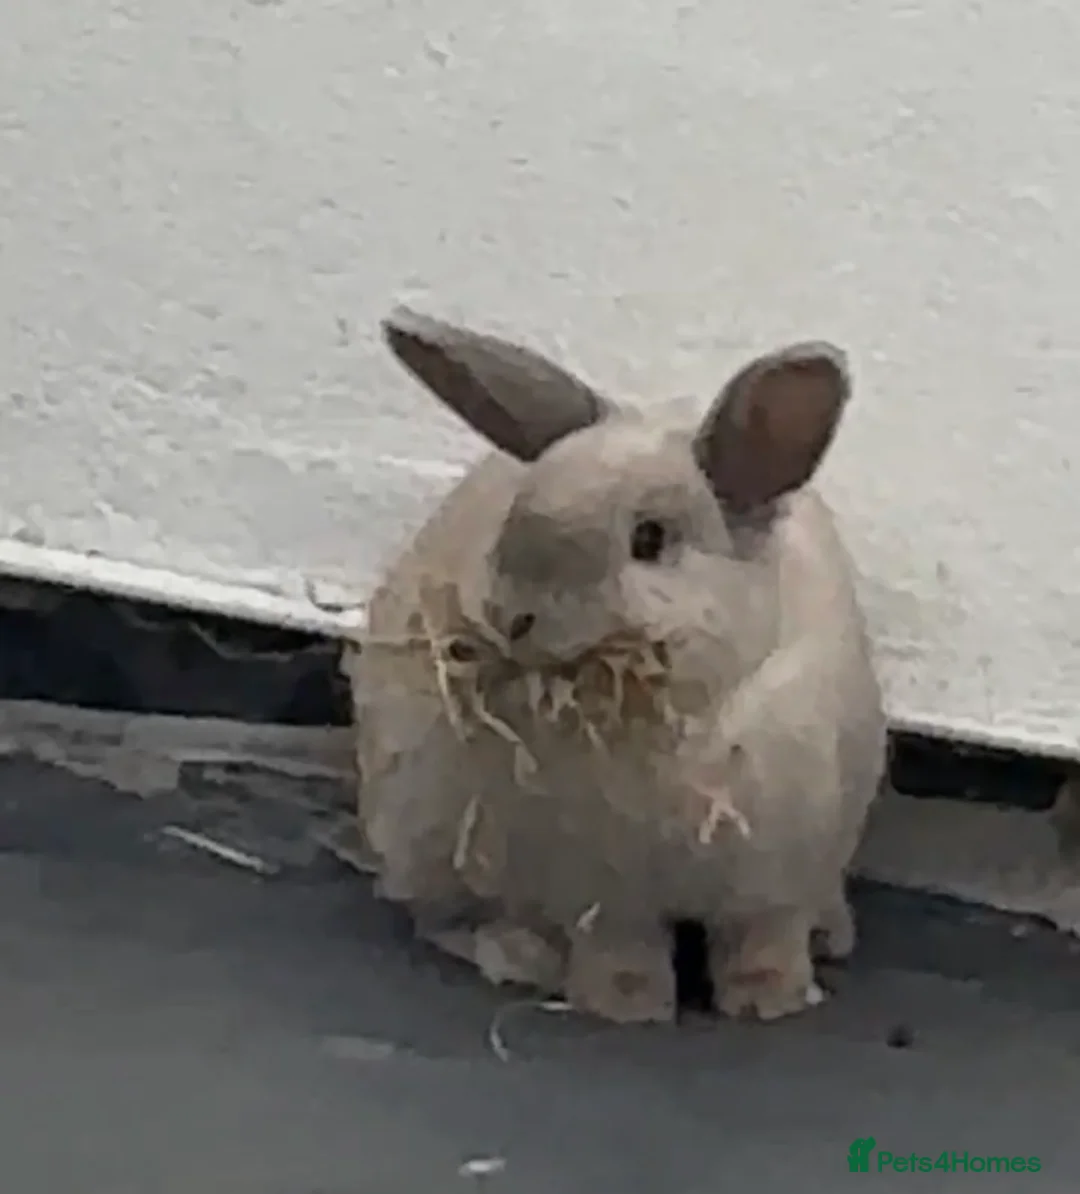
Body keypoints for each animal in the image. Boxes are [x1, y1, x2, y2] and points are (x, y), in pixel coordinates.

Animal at [346, 305, 888, 1023]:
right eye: (514, 521)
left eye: (649, 540)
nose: (515, 616)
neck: (684, 718)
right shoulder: (604, 897)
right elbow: (621, 951)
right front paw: (628, 1010)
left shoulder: (778, 883)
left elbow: (763, 941)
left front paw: (770, 1003)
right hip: (424, 821)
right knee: (437, 915)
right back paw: (518, 956)